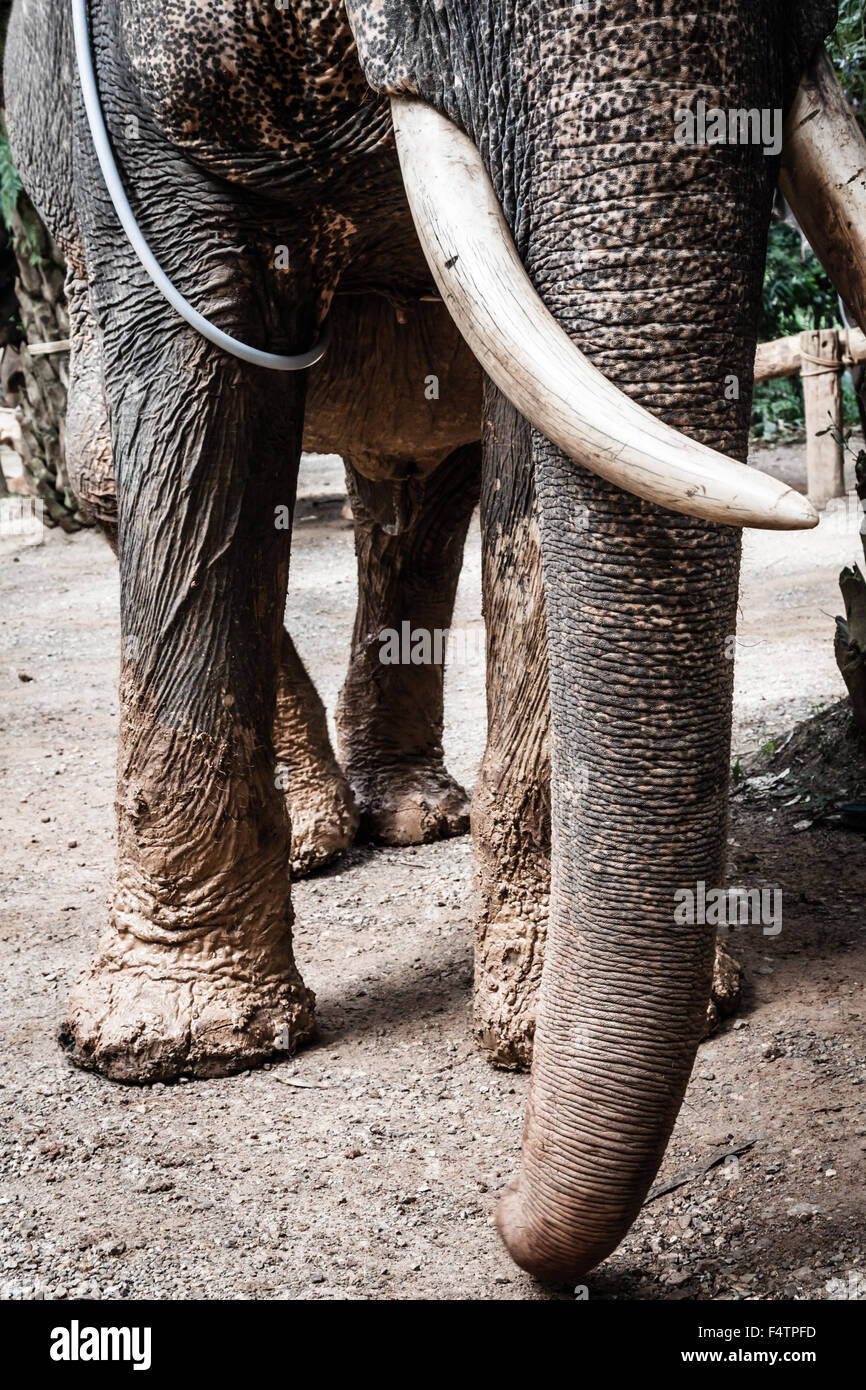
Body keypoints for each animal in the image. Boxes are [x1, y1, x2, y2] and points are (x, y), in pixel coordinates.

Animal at [5, 0, 861, 1278]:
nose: (504, 1222)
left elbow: (530, 421)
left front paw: (556, 1024)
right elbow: (195, 380)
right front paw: (168, 1047)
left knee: (417, 477)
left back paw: (410, 814)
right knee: (114, 467)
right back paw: (321, 835)